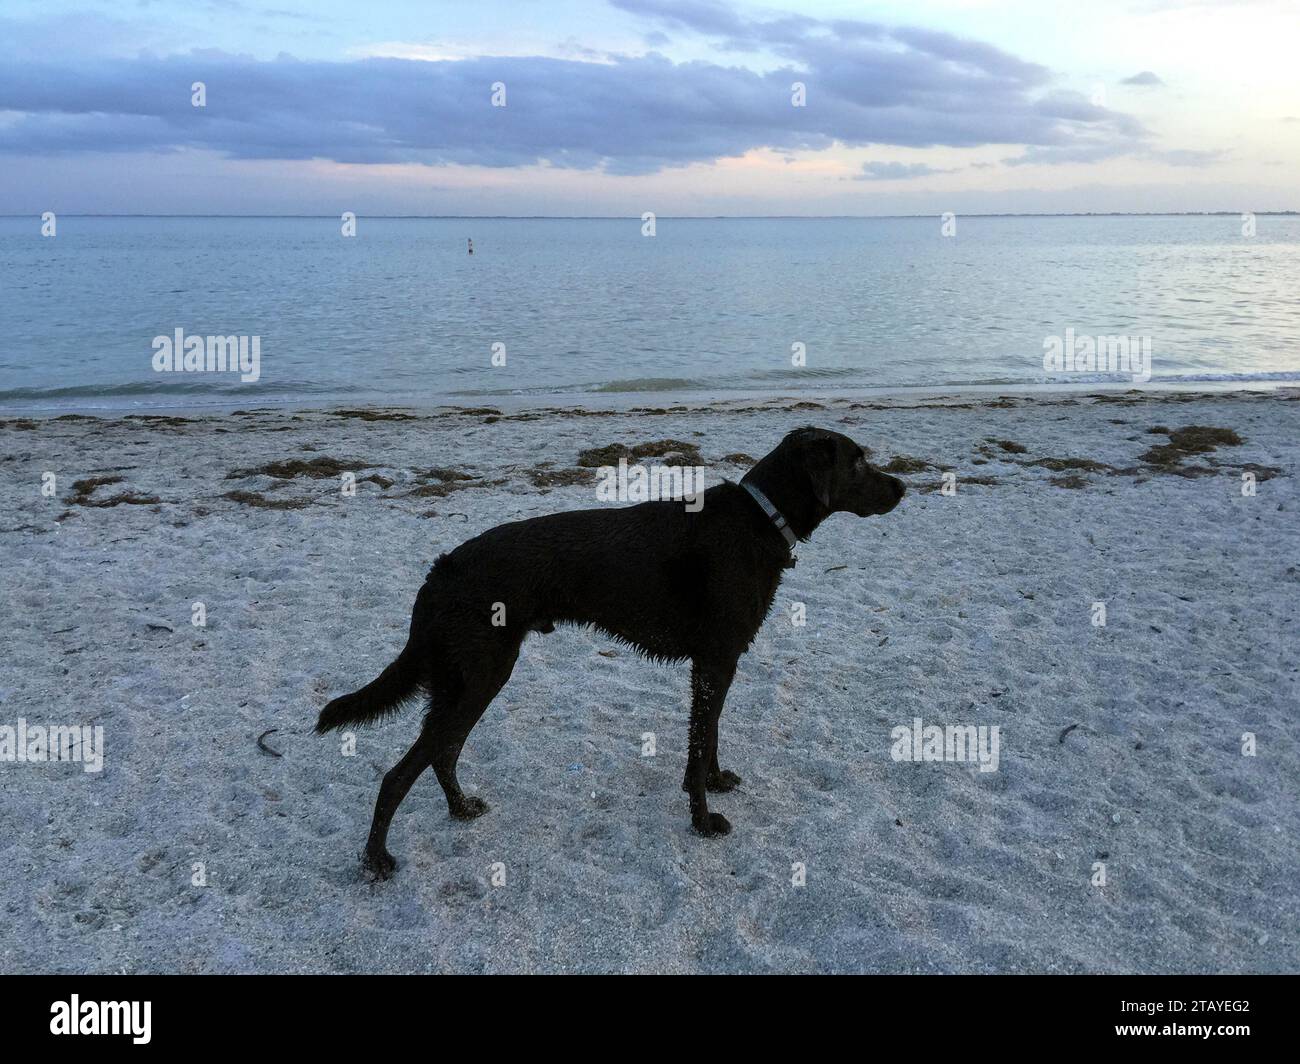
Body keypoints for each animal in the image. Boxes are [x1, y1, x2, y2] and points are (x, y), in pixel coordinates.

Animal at [315, 424, 904, 879]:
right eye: (857, 461)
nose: (901, 487)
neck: (761, 517)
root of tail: (442, 570)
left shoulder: (717, 665)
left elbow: (710, 735)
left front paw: (715, 783)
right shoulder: (714, 664)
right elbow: (698, 745)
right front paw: (702, 819)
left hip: (465, 681)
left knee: (441, 753)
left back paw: (459, 810)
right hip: (481, 675)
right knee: (401, 773)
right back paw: (375, 859)